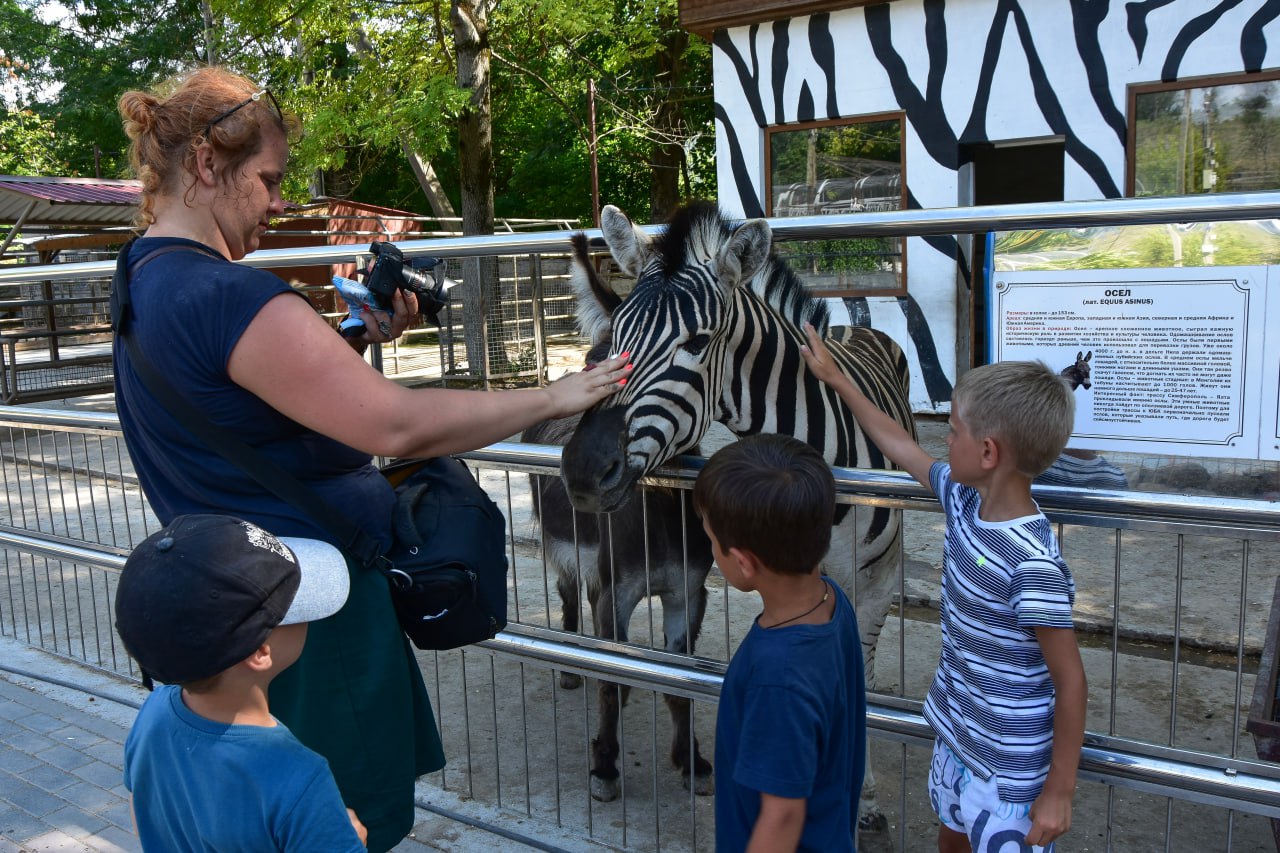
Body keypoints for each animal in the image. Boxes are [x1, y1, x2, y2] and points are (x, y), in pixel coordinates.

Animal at [519, 333, 721, 804]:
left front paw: (692, 762)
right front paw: (605, 767)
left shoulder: (687, 595)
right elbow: (612, 681)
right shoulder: (619, 592)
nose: (584, 477)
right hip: (566, 551)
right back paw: (572, 668)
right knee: (569, 597)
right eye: (595, 368)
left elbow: (678, 681)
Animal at [558, 199, 911, 845]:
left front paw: (862, 799)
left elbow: (860, 677)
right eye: (613, 339)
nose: (583, 472)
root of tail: (852, 326)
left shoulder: (870, 583)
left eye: (697, 342)